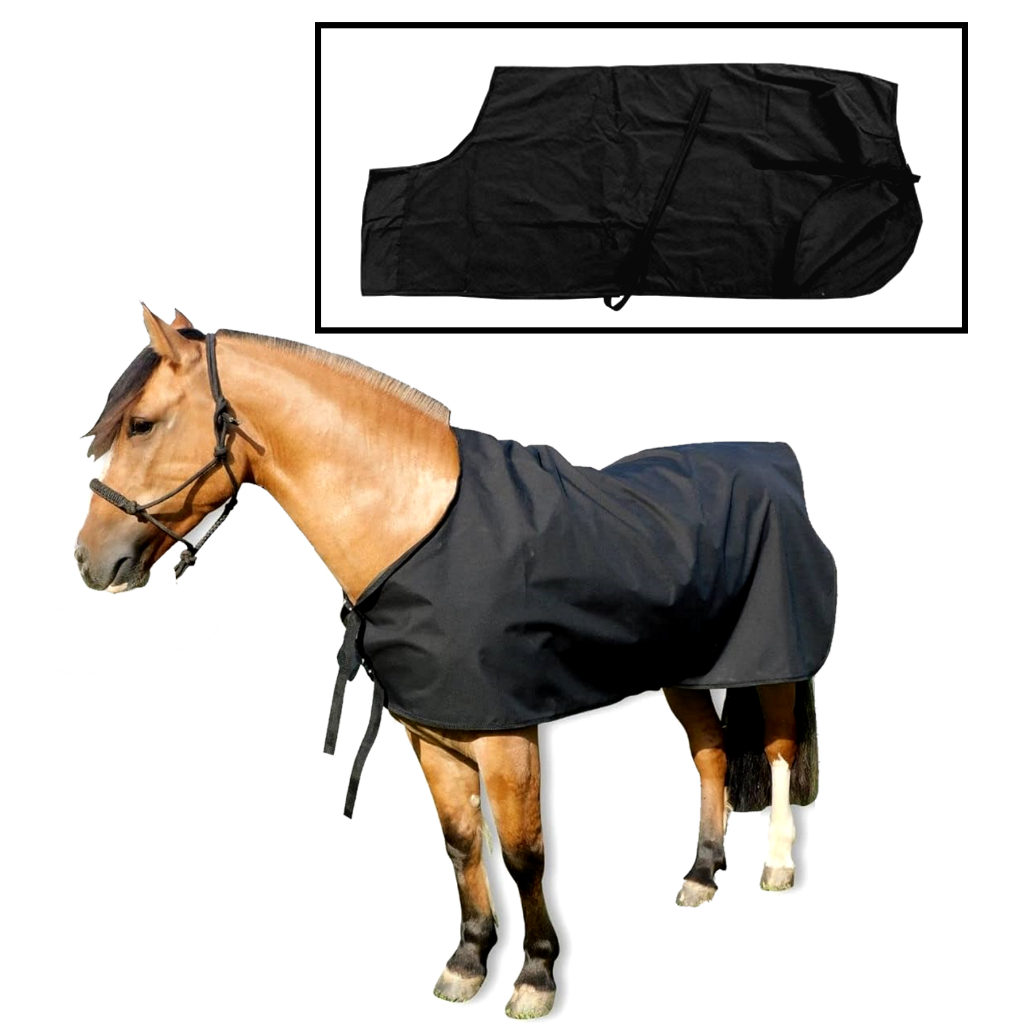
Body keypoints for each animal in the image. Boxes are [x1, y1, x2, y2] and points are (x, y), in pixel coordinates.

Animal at [75, 306, 827, 1020]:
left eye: (140, 424)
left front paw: (535, 976)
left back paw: (777, 866)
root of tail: (776, 460)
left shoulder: (506, 734)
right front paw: (467, 961)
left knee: (779, 750)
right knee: (711, 754)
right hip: (685, 671)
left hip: (772, 666)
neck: (416, 526)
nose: (88, 560)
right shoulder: (432, 732)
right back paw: (700, 875)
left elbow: (524, 854)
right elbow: (462, 841)